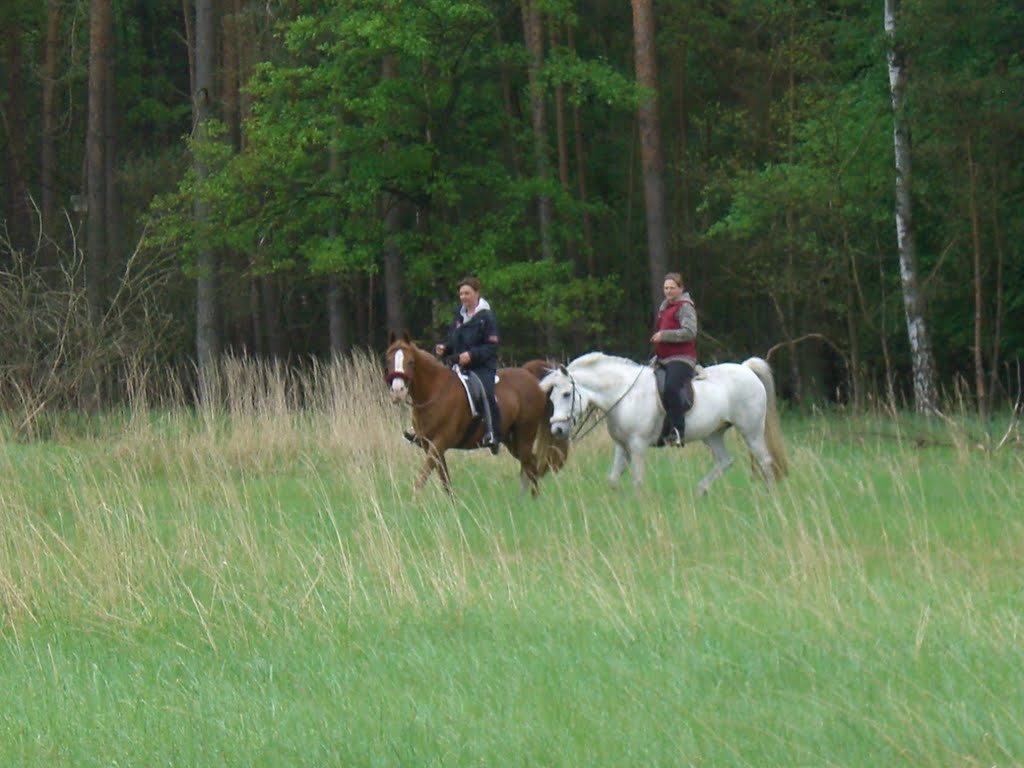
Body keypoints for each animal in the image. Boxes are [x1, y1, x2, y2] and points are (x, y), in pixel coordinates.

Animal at [387, 333, 573, 495]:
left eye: (411, 362)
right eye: (388, 361)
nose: (397, 391)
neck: (435, 392)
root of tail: (529, 374)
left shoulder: (440, 441)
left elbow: (423, 476)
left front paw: (414, 502)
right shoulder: (429, 445)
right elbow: (444, 479)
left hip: (524, 434)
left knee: (531, 465)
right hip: (511, 439)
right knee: (529, 464)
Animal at [540, 354, 786, 495]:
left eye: (566, 394)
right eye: (551, 397)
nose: (557, 430)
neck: (623, 393)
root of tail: (746, 368)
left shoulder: (638, 445)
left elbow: (638, 480)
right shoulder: (623, 446)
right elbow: (613, 479)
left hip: (751, 430)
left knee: (765, 461)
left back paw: (770, 495)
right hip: (713, 434)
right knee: (725, 461)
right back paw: (701, 490)